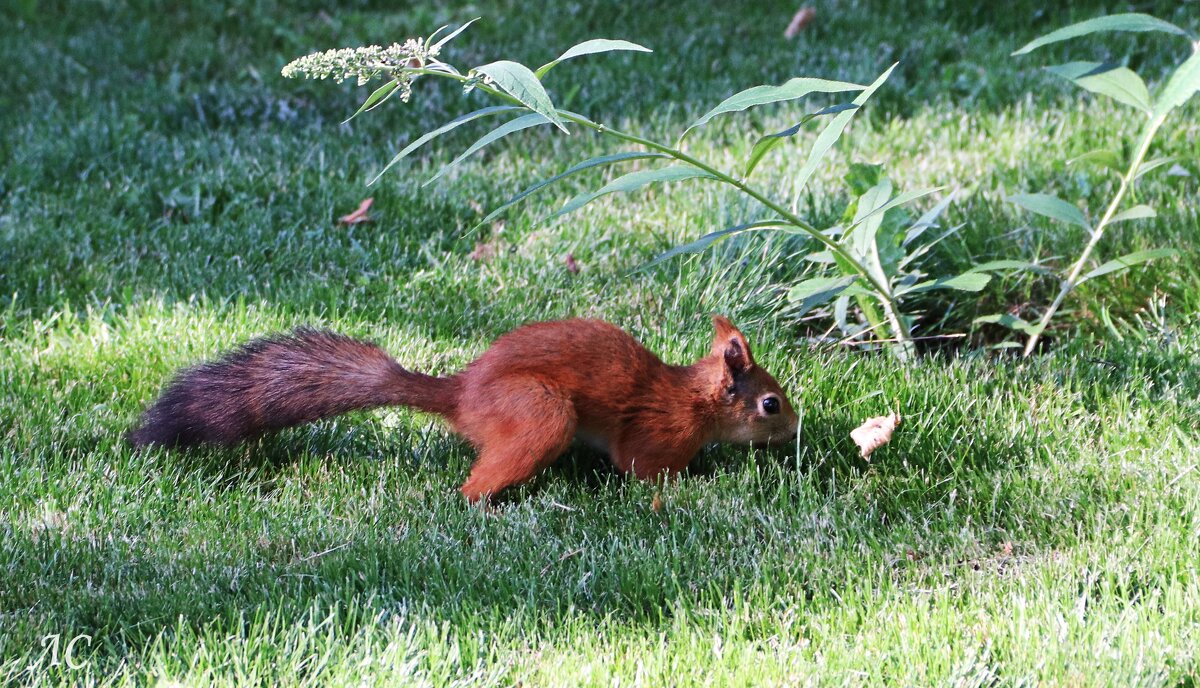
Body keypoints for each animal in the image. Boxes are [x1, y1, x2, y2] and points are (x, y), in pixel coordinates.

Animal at [129, 314, 796, 499]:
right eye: (770, 403)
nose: (796, 431)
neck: (691, 399)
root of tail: (462, 393)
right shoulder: (655, 435)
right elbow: (644, 472)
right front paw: (687, 489)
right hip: (540, 416)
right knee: (473, 485)